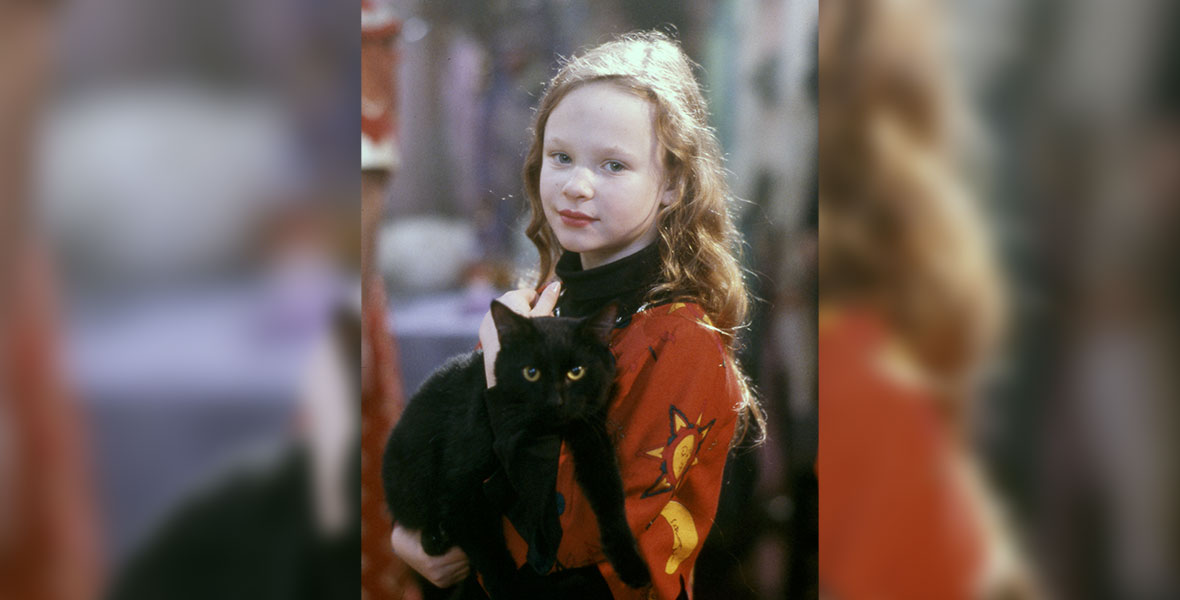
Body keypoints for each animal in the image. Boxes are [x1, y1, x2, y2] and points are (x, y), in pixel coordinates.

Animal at [379, 300, 651, 595]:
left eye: (576, 371)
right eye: (531, 373)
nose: (555, 401)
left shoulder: (593, 441)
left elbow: (611, 498)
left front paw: (630, 564)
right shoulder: (460, 492)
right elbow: (490, 554)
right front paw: (507, 588)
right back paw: (435, 538)